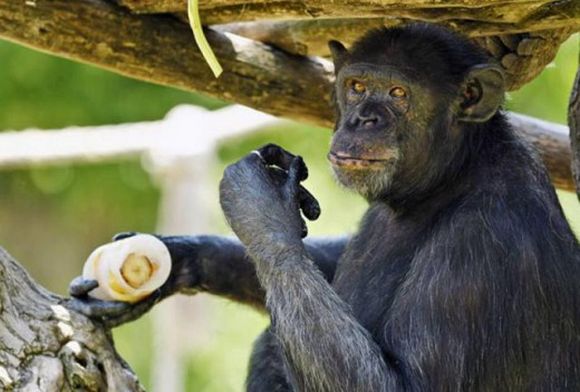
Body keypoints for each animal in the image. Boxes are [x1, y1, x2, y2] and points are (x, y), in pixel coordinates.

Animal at [68, 23, 580, 390]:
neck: (451, 175)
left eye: (399, 93)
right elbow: (327, 270)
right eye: (356, 86)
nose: (362, 119)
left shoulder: (482, 246)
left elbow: (403, 385)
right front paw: (181, 258)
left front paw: (260, 208)